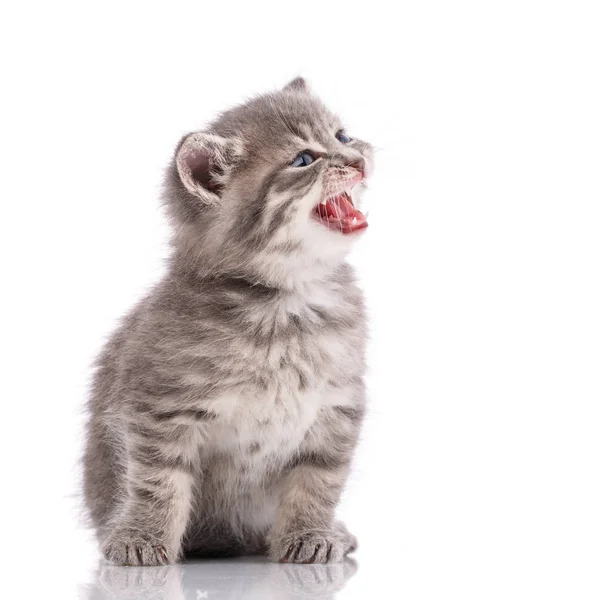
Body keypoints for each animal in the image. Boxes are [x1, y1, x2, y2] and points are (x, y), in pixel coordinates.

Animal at [83, 77, 376, 564]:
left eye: (342, 136)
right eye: (303, 160)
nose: (359, 159)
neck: (285, 304)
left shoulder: (336, 405)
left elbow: (319, 479)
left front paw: (311, 533)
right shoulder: (160, 408)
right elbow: (156, 482)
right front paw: (141, 538)